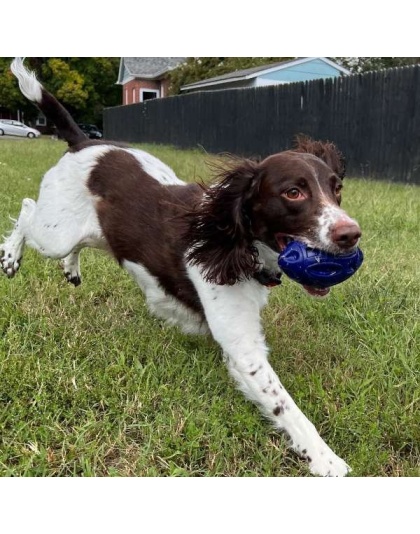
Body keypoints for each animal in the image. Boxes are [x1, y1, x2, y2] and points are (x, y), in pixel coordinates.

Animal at [0, 58, 360, 478]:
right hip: (53, 232)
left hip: (91, 231)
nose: (351, 234)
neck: (233, 242)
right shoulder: (244, 349)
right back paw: (11, 257)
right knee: (27, 210)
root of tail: (83, 141)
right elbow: (287, 406)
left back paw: (70, 268)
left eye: (336, 188)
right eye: (293, 192)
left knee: (71, 241)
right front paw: (325, 458)